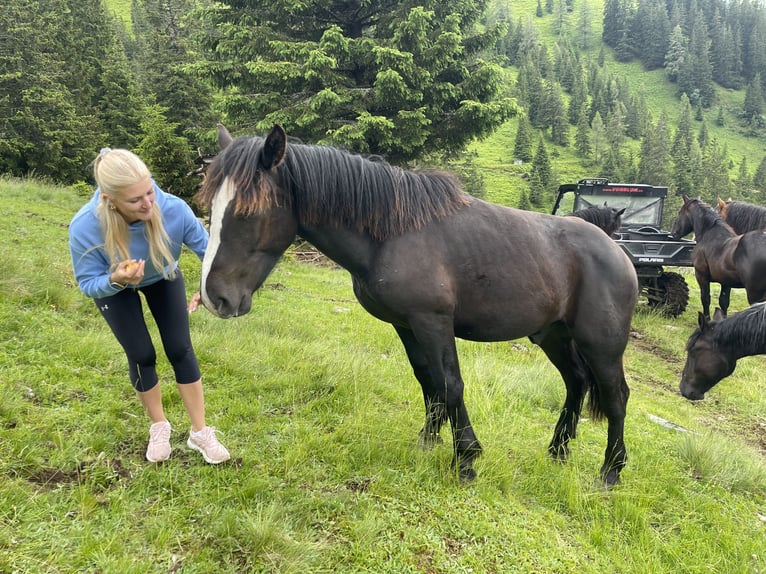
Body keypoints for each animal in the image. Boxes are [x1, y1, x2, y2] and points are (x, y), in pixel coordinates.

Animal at [195, 125, 640, 486]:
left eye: (249, 210)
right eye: (212, 204)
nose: (216, 297)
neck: (393, 233)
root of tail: (617, 251)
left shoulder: (433, 322)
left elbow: (451, 384)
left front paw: (466, 459)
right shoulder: (406, 325)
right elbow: (428, 381)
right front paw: (428, 441)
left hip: (602, 344)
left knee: (616, 396)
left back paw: (611, 471)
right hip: (552, 335)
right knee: (576, 382)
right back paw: (558, 451)